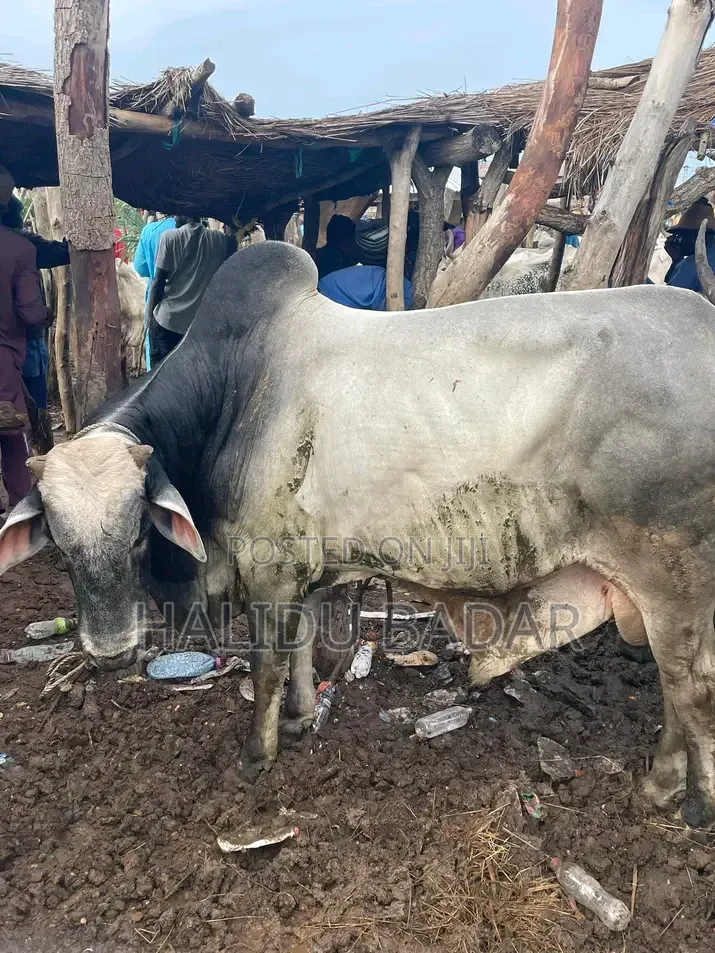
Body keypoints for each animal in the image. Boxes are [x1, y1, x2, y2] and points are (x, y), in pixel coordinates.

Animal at [2, 241, 715, 829]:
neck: (233, 392)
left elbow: (266, 664)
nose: (110, 651)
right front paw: (299, 720)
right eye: (58, 543)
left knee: (689, 689)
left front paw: (256, 754)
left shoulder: (269, 570)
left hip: (672, 586)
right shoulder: (308, 571)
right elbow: (302, 650)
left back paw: (673, 796)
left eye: (136, 534)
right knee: (680, 688)